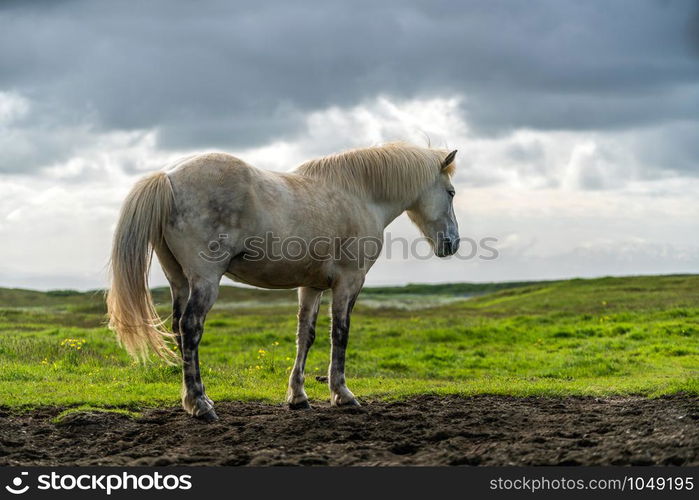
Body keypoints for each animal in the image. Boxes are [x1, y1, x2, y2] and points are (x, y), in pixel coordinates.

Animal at [108, 143, 460, 420]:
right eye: (451, 192)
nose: (452, 243)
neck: (359, 195)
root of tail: (168, 177)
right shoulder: (349, 282)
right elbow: (340, 334)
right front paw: (342, 395)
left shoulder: (312, 286)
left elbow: (306, 336)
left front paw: (298, 397)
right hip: (205, 280)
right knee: (190, 328)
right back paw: (201, 406)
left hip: (179, 280)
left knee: (179, 330)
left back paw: (198, 399)